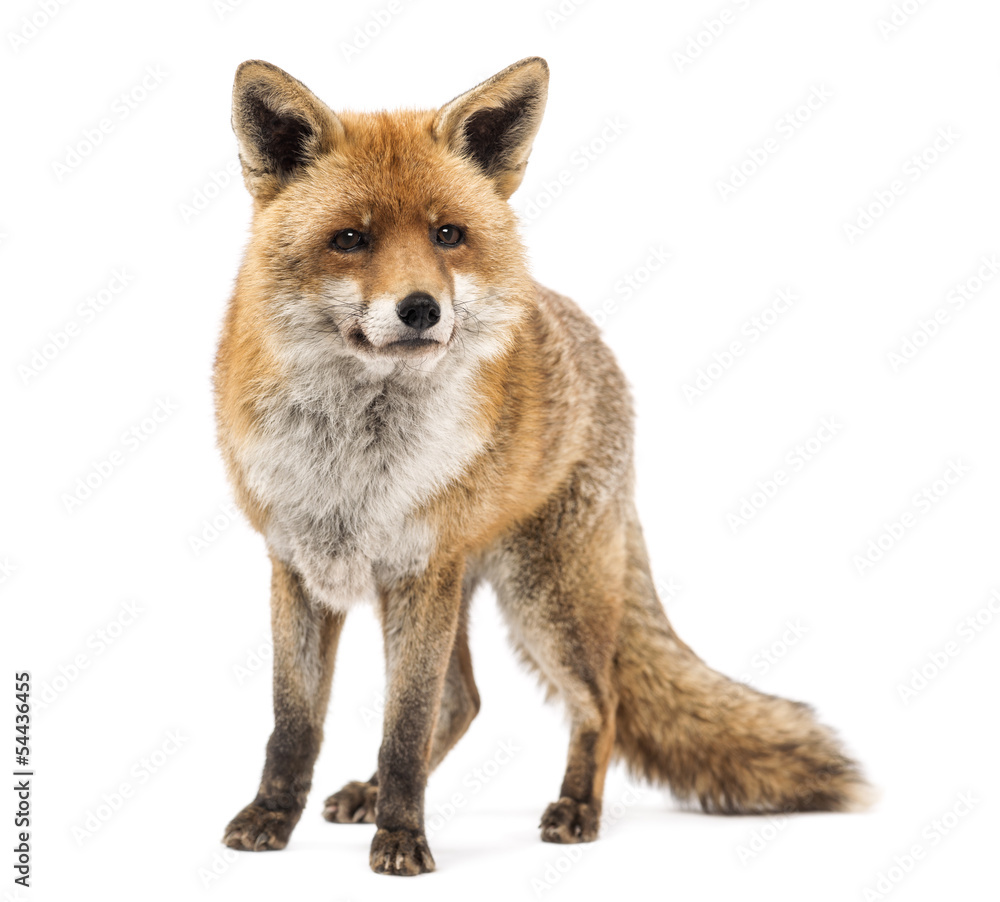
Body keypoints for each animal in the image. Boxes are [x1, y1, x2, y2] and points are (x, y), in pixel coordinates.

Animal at [215, 56, 870, 876]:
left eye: (448, 234)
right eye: (351, 239)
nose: (421, 308)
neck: (354, 464)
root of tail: (582, 330)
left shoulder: (420, 573)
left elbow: (403, 727)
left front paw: (402, 838)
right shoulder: (298, 567)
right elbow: (293, 722)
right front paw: (273, 818)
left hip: (542, 598)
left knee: (599, 702)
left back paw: (575, 807)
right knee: (464, 701)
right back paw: (369, 793)